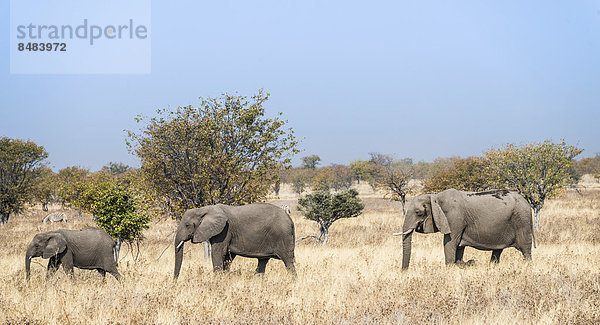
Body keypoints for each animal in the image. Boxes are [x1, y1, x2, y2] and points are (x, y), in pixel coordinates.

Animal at [398, 187, 536, 268]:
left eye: (418, 212)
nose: (404, 272)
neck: (435, 197)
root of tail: (527, 202)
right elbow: (458, 246)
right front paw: (463, 264)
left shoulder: (454, 218)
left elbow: (450, 242)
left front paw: (450, 268)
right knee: (498, 250)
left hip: (522, 220)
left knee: (525, 249)